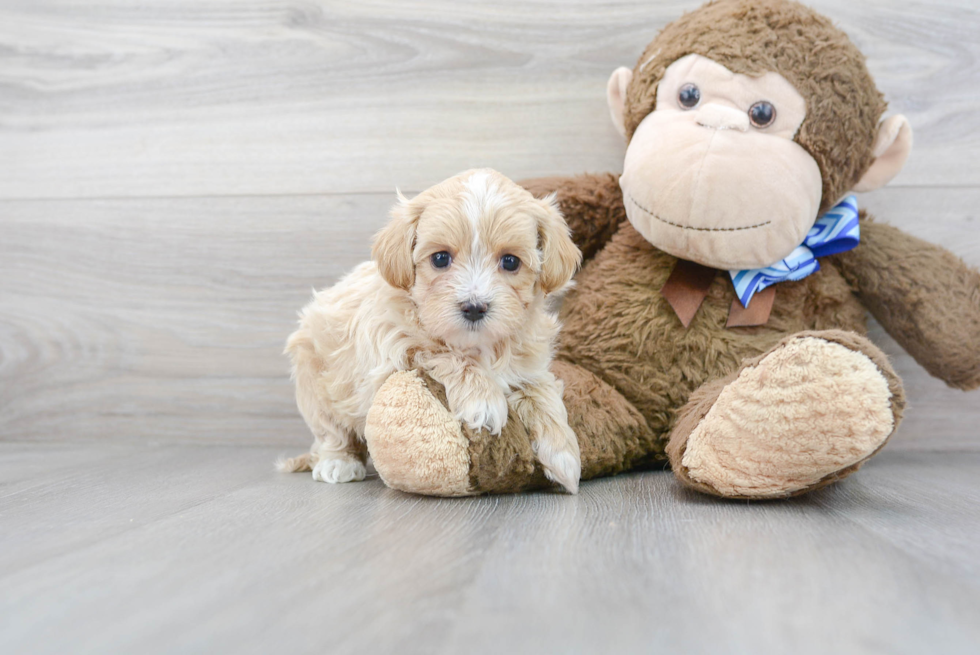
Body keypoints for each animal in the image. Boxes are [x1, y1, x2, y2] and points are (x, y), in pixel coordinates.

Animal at [276, 169, 580, 492]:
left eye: (510, 261)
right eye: (440, 258)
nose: (474, 307)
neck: (477, 345)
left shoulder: (529, 364)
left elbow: (541, 392)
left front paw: (563, 452)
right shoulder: (395, 351)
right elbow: (445, 354)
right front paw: (483, 401)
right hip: (315, 381)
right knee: (331, 432)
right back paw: (338, 462)